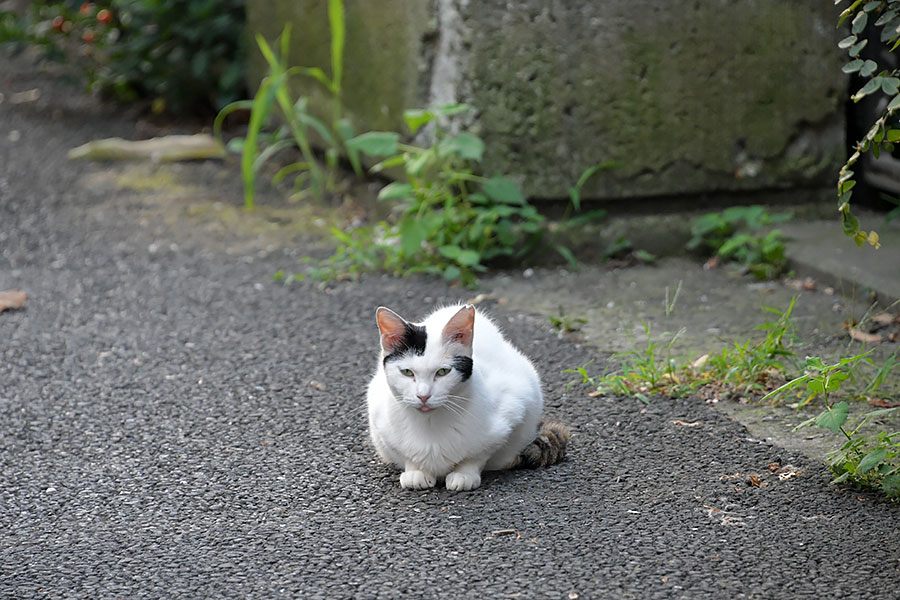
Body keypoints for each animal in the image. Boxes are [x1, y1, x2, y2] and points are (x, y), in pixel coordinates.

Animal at [364, 302, 564, 490]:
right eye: (407, 372)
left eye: (443, 372)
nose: (423, 396)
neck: (430, 425)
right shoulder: (379, 418)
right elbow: (406, 453)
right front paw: (416, 471)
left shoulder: (514, 406)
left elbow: (478, 454)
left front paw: (464, 474)